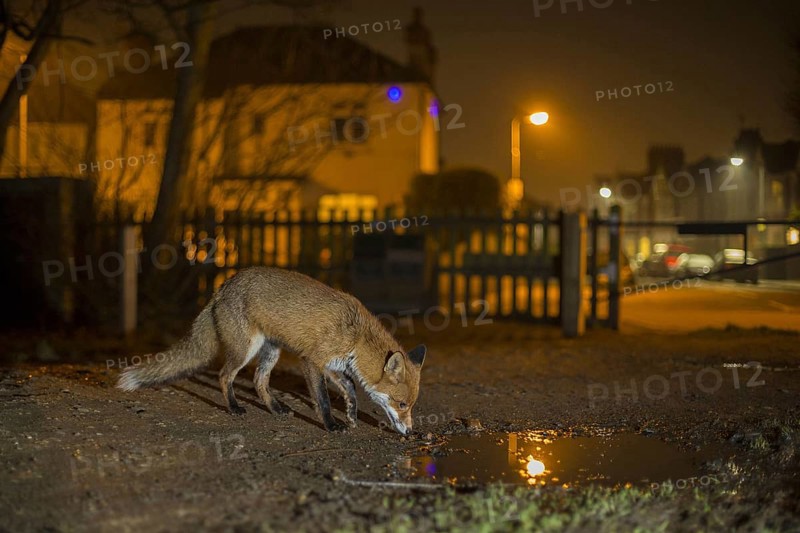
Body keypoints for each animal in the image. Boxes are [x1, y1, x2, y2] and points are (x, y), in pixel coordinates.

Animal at [117, 267, 426, 434]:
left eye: (410, 405)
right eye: (402, 405)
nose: (410, 432)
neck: (357, 336)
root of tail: (222, 287)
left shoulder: (333, 365)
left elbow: (350, 387)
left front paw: (351, 415)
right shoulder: (311, 361)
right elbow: (323, 400)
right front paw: (330, 424)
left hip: (271, 352)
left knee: (258, 381)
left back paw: (275, 408)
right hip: (245, 350)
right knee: (224, 375)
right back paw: (234, 407)